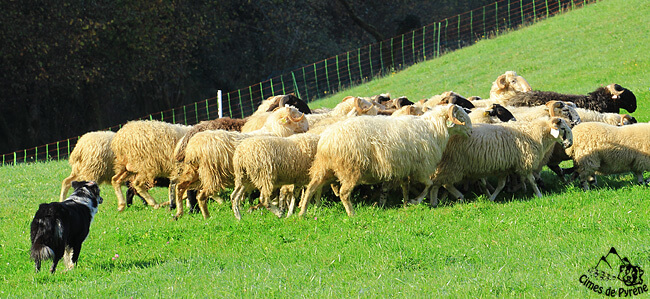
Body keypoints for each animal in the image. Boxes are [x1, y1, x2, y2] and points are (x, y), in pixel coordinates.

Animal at [172, 106, 308, 219]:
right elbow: (270, 195)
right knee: (200, 195)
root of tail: (193, 146)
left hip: (195, 172)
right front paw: (276, 210)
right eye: (297, 115)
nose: (308, 128)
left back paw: (179, 213)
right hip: (212, 175)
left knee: (180, 186)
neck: (276, 131)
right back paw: (206, 216)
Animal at [296, 104, 468, 217]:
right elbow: (429, 185)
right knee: (344, 193)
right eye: (460, 117)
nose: (471, 132)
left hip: (324, 167)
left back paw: (302, 212)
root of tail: (327, 140)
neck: (433, 129)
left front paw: (406, 203)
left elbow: (405, 187)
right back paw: (352, 214)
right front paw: (415, 201)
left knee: (311, 188)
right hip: (350, 169)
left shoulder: (404, 168)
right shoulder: (421, 168)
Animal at [426, 117, 572, 206]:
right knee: (442, 183)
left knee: (440, 183)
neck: (534, 133)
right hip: (453, 164)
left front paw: (491, 198)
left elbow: (501, 185)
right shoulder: (525, 163)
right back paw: (447, 199)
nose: (569, 144)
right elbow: (532, 181)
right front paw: (539, 195)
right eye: (563, 129)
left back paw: (438, 201)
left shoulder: (504, 168)